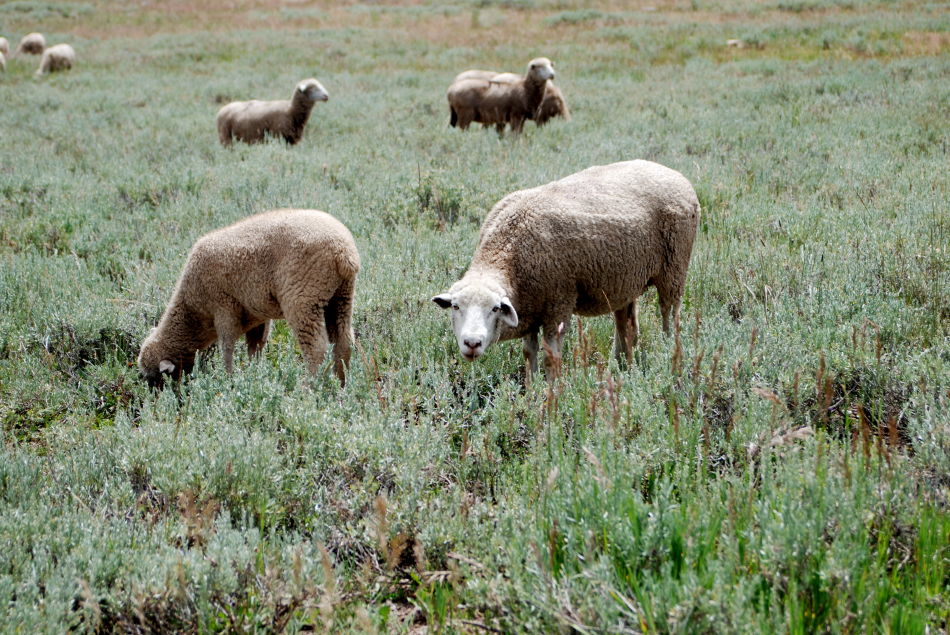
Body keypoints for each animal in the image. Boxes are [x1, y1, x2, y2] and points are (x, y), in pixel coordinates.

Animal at [139, 209, 362, 388]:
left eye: (155, 379)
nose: (152, 399)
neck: (193, 312)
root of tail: (343, 252)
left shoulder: (224, 307)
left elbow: (227, 345)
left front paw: (228, 377)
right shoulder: (258, 316)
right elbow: (256, 347)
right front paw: (255, 373)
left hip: (303, 297)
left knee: (316, 349)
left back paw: (309, 387)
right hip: (341, 296)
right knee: (344, 342)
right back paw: (341, 384)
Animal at [436, 161, 704, 386]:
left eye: (494, 309)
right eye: (456, 307)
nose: (472, 343)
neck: (509, 251)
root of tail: (675, 174)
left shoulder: (559, 302)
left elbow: (551, 357)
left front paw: (552, 393)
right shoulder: (530, 307)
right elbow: (529, 353)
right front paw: (531, 391)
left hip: (674, 268)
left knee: (670, 317)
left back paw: (668, 353)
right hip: (624, 282)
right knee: (627, 329)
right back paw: (620, 370)